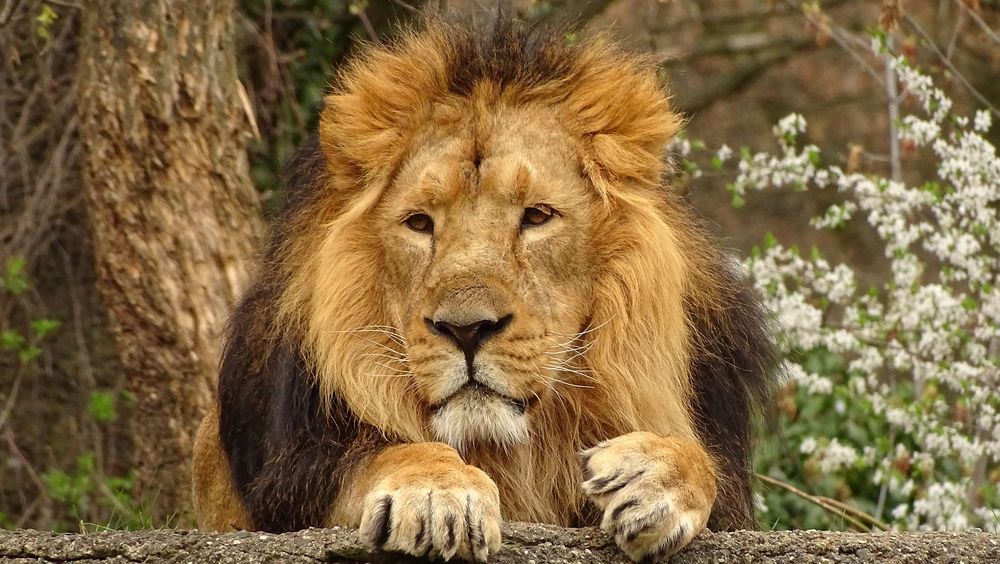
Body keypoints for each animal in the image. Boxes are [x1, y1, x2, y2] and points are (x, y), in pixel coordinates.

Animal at [192, 11, 775, 563]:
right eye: (419, 222)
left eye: (537, 216)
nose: (466, 329)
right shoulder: (287, 479)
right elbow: (384, 452)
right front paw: (435, 492)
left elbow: (704, 464)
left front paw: (655, 473)